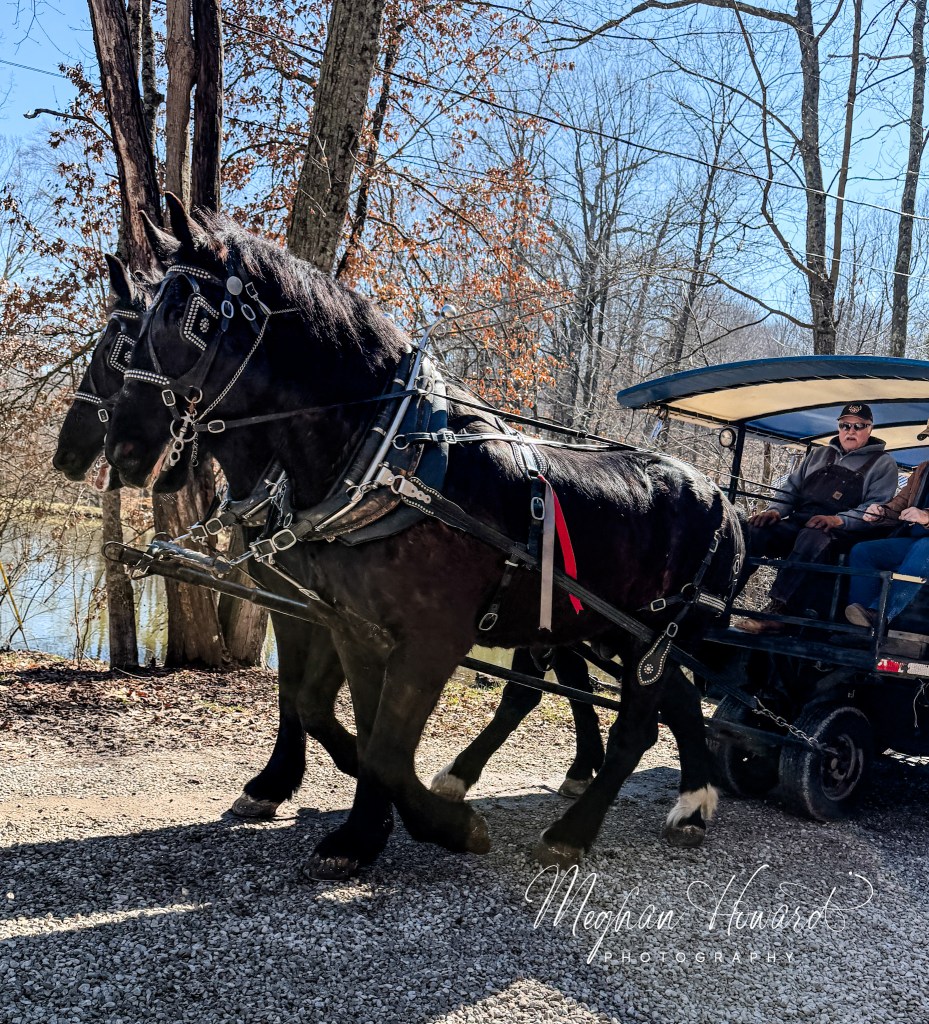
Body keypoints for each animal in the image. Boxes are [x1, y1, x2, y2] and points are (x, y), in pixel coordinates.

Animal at [105, 199, 743, 878]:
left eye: (184, 316)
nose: (122, 445)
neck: (395, 461)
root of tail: (725, 503)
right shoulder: (351, 623)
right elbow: (349, 721)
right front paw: (360, 832)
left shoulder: (430, 637)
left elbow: (383, 745)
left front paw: (449, 827)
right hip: (617, 635)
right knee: (669, 701)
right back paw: (692, 800)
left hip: (651, 638)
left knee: (634, 726)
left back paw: (572, 831)